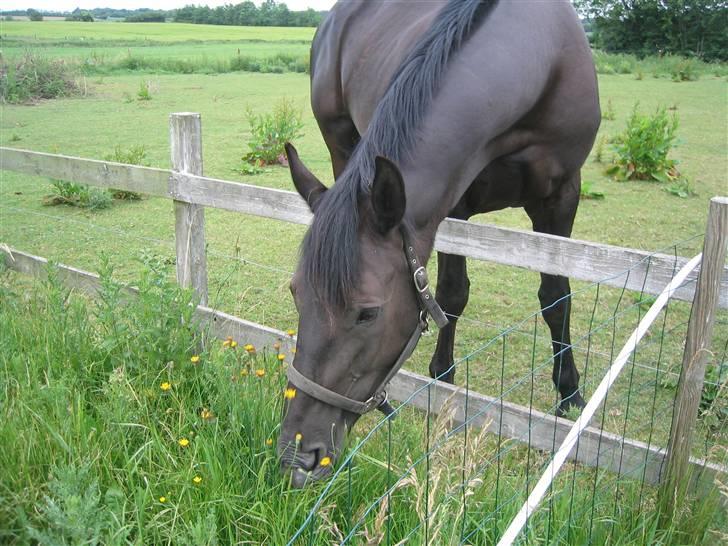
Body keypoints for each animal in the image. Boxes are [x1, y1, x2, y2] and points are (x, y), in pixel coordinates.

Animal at [276, 0, 600, 484]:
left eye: (368, 313)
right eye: (297, 294)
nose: (297, 457)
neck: (538, 57)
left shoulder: (561, 195)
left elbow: (556, 298)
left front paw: (570, 395)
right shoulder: (455, 202)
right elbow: (451, 295)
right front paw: (443, 378)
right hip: (340, 143)